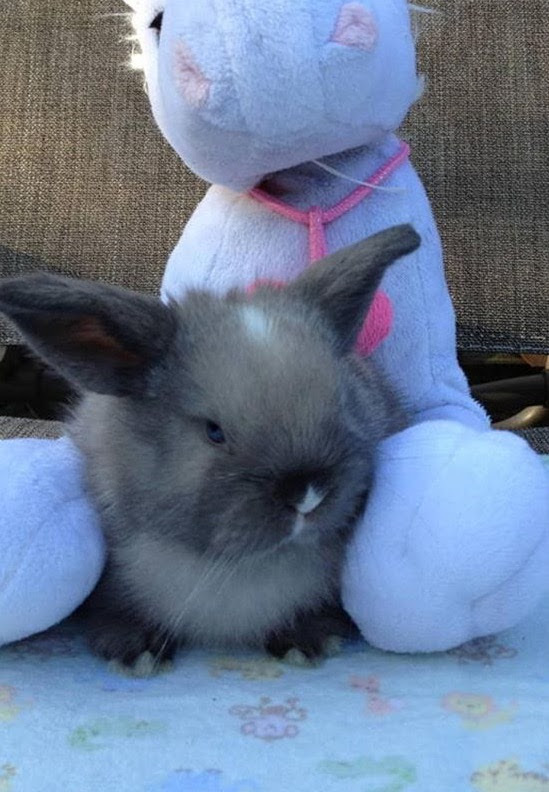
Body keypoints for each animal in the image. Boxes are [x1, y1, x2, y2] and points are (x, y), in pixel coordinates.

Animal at [0, 224, 419, 668]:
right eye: (213, 431)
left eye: (342, 401)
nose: (307, 495)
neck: (233, 567)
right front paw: (136, 650)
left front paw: (306, 641)